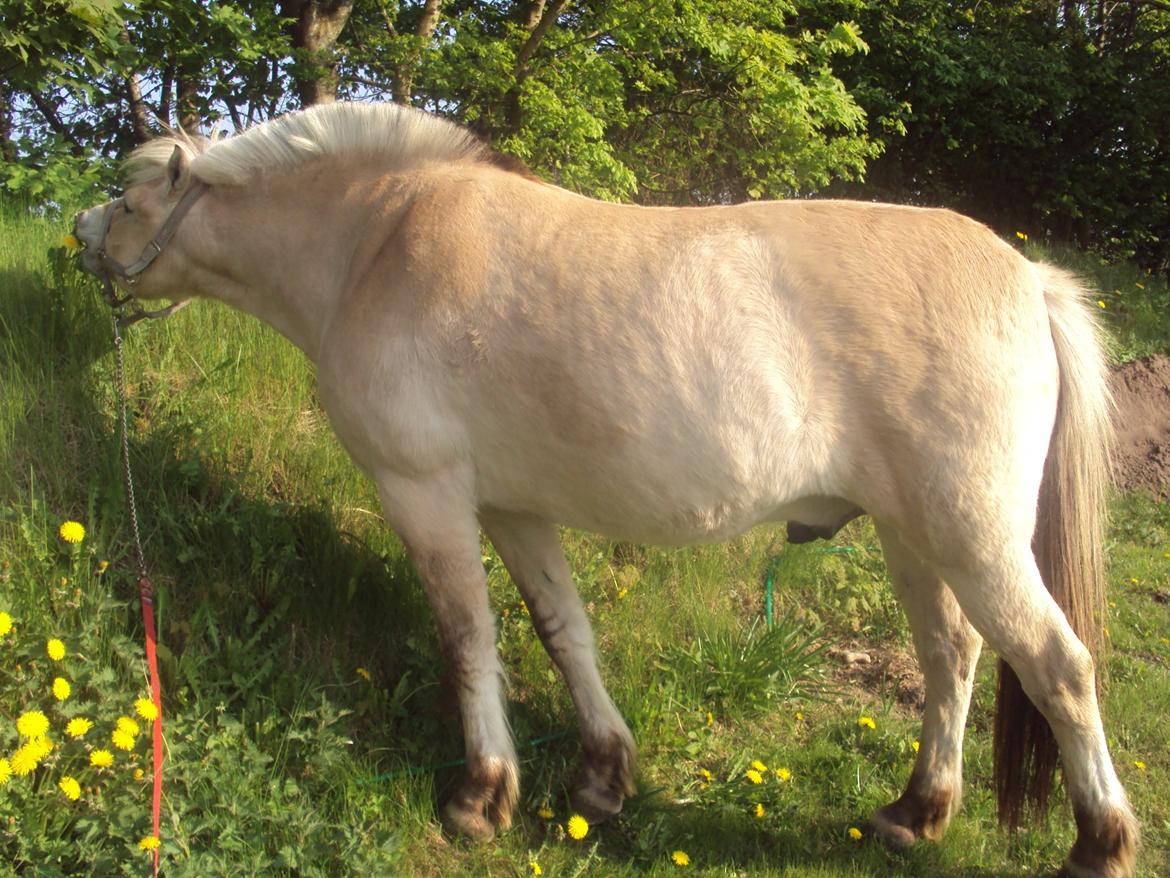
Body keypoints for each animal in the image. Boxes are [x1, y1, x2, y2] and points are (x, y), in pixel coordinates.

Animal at [73, 101, 1132, 875]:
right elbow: (562, 630)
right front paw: (601, 777)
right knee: (951, 656)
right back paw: (917, 811)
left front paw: (481, 795)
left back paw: (1099, 843)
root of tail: (1028, 276)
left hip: (973, 537)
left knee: (1057, 666)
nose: (81, 236)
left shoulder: (425, 492)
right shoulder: (513, 508)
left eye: (128, 198)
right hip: (914, 535)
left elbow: (468, 638)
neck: (377, 242)